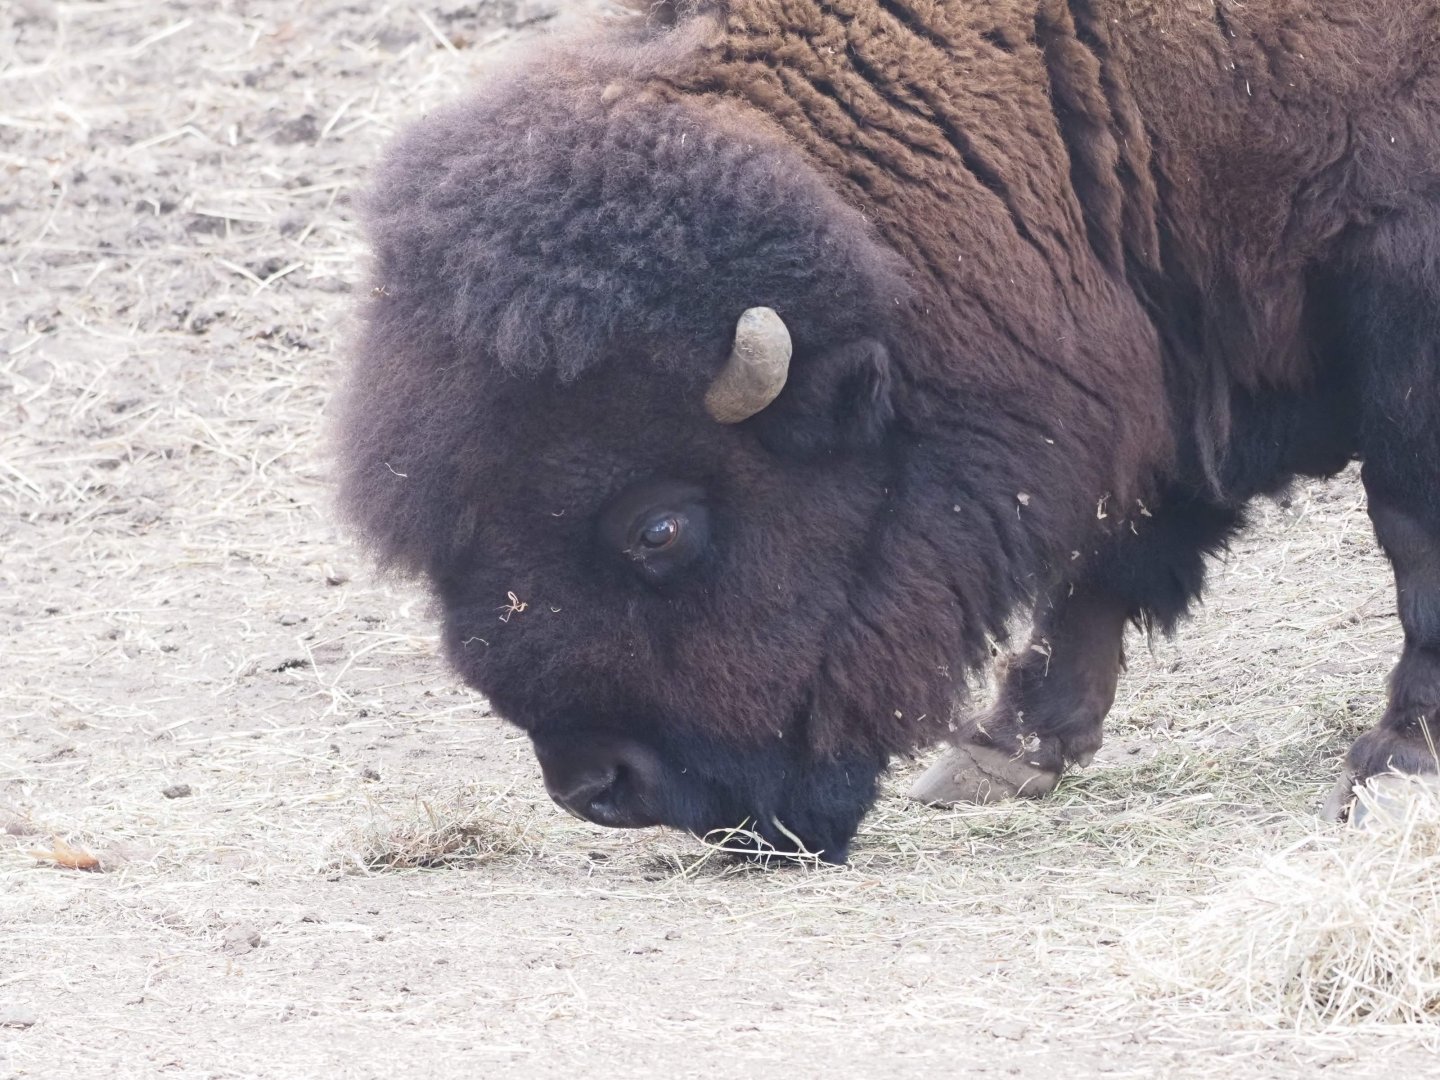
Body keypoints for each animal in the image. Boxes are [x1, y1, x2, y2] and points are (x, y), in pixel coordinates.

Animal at [336, 0, 1440, 862]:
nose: (600, 787)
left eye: (661, 528)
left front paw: (1397, 769)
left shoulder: (1396, 289)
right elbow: (1119, 537)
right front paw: (998, 754)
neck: (1066, 67)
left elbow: (1411, 531)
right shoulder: (1165, 336)